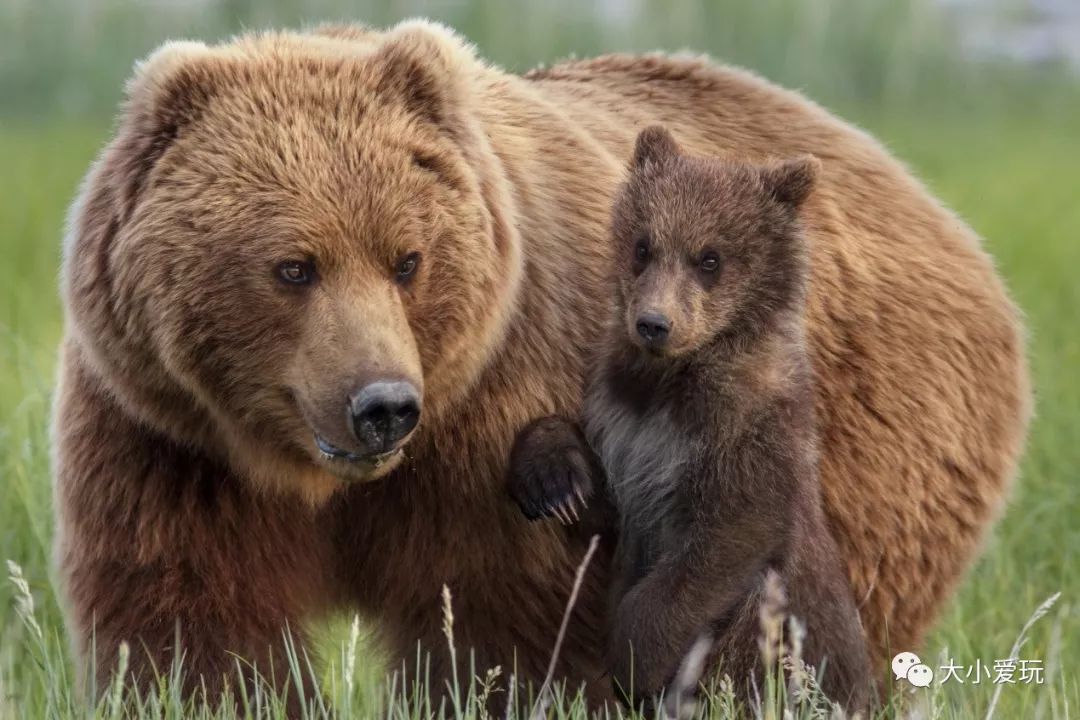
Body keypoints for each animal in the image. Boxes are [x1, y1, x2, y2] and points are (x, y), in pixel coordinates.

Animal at [56, 19, 1028, 708]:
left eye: (407, 259)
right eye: (294, 267)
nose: (382, 404)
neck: (324, 484)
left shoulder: (496, 406)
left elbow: (507, 630)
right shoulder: (168, 439)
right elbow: (194, 625)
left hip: (873, 444)